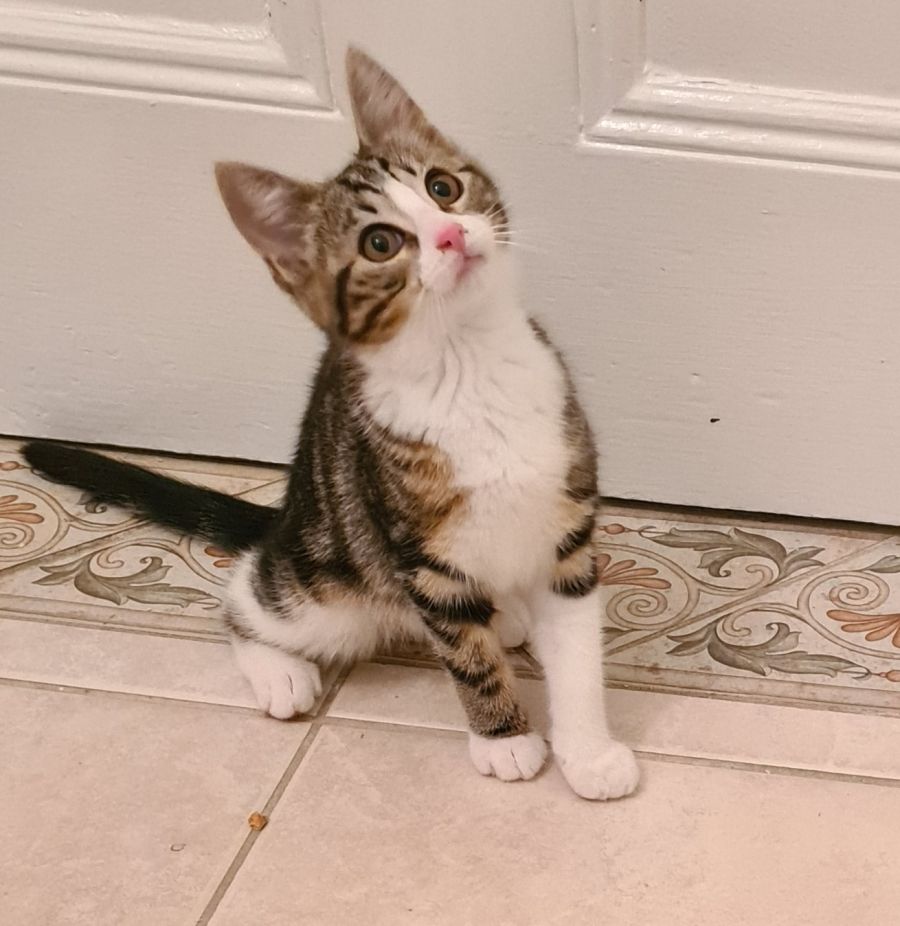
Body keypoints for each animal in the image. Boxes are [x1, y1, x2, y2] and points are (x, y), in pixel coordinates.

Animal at [23, 47, 639, 801]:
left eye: (443, 187)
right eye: (380, 243)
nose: (450, 234)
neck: (469, 362)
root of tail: (289, 518)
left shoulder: (567, 529)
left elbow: (578, 655)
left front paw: (590, 753)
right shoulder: (420, 557)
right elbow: (464, 654)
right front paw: (505, 738)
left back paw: (511, 617)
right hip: (326, 583)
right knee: (245, 598)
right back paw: (281, 670)